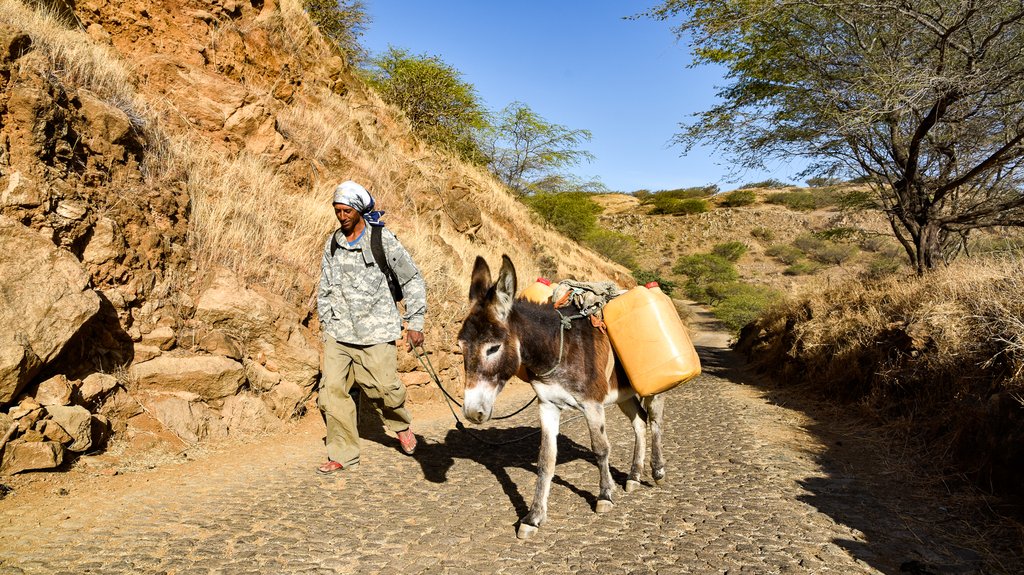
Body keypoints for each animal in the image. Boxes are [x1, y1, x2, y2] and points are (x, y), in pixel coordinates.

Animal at [457, 254, 667, 539]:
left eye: (493, 348)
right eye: (460, 346)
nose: (471, 413)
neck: (558, 347)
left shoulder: (592, 404)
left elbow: (601, 449)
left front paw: (604, 496)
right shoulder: (547, 406)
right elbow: (546, 460)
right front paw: (533, 517)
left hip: (653, 388)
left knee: (655, 422)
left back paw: (657, 471)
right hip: (624, 394)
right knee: (640, 423)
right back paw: (634, 476)